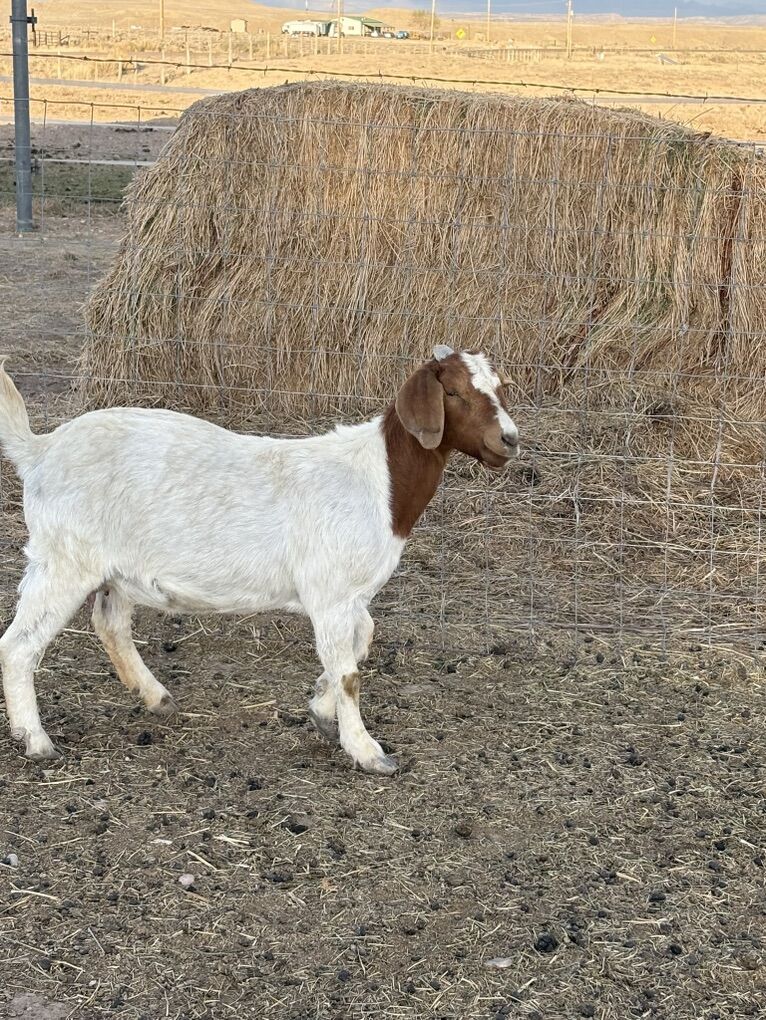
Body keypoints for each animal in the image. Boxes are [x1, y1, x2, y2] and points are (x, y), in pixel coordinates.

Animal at [0, 347, 518, 774]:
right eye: (452, 392)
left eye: (500, 388)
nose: (509, 440)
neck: (380, 482)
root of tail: (40, 451)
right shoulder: (329, 593)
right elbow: (349, 672)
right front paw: (368, 752)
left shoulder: (348, 596)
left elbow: (362, 642)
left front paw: (320, 709)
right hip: (64, 559)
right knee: (18, 645)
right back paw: (36, 740)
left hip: (115, 569)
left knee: (109, 624)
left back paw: (155, 697)